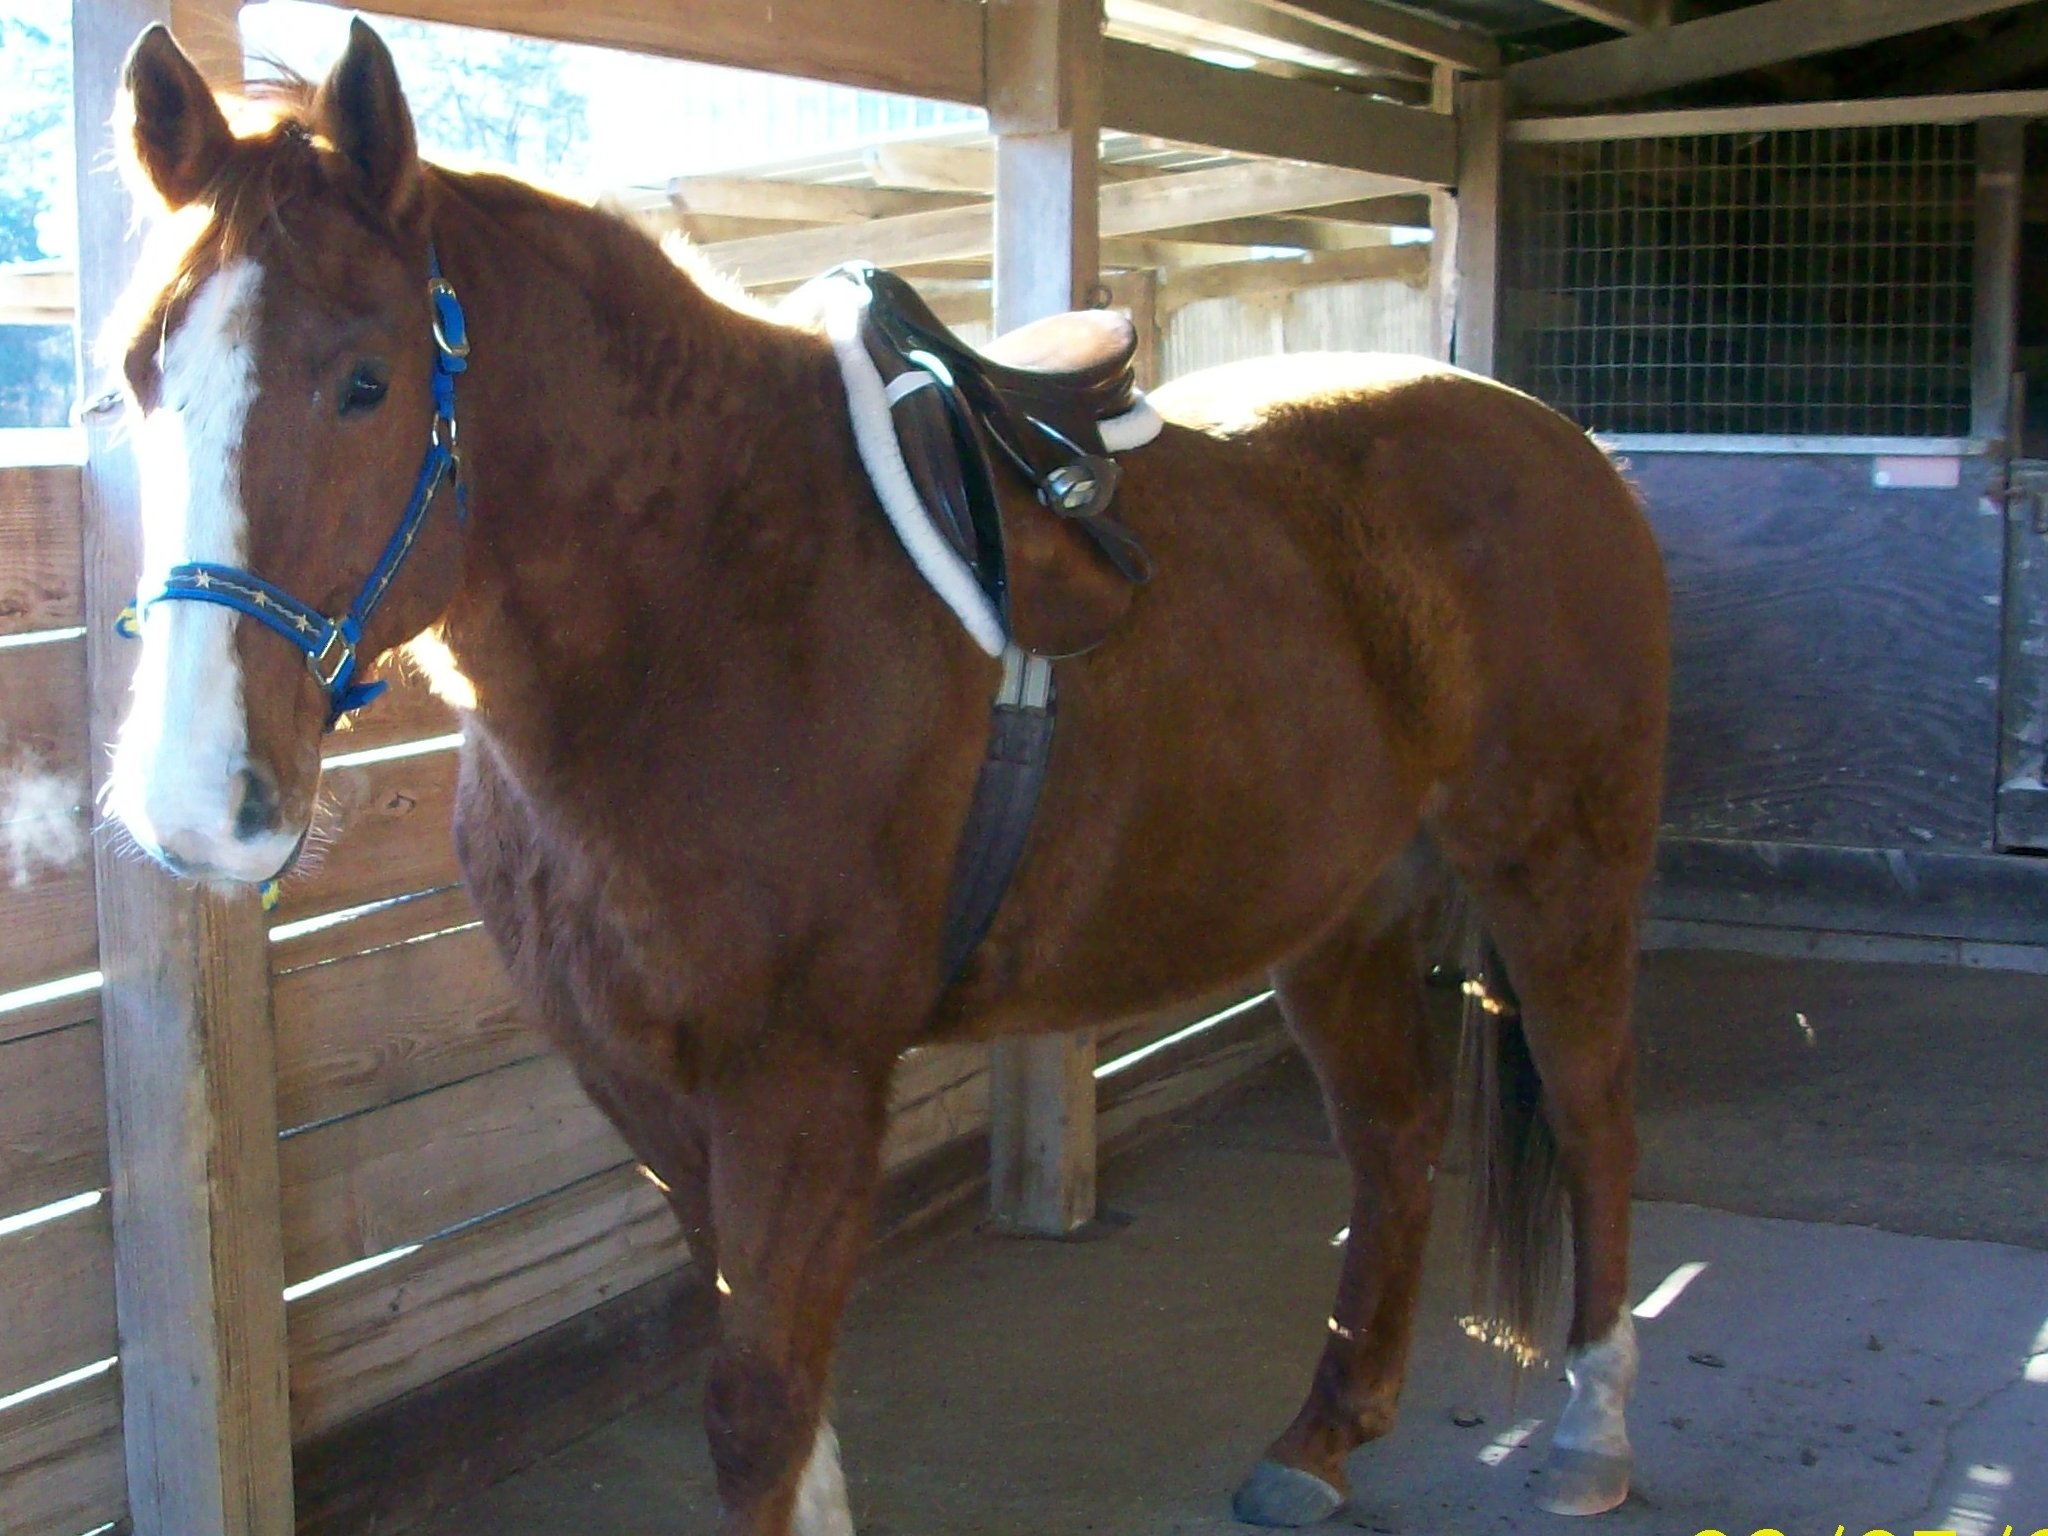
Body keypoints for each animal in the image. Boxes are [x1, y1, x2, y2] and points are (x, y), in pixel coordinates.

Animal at [103, 21, 1669, 1535]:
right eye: (133, 376)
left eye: (365, 381)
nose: (196, 802)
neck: (707, 590)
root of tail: (1561, 442)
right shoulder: (647, 1086)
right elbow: (782, 1403)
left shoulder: (800, 1084)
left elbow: (756, 1413)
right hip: (1342, 914)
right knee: (1395, 1140)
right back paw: (1321, 1441)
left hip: (1560, 877)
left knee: (1594, 1113)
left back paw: (1590, 1434)